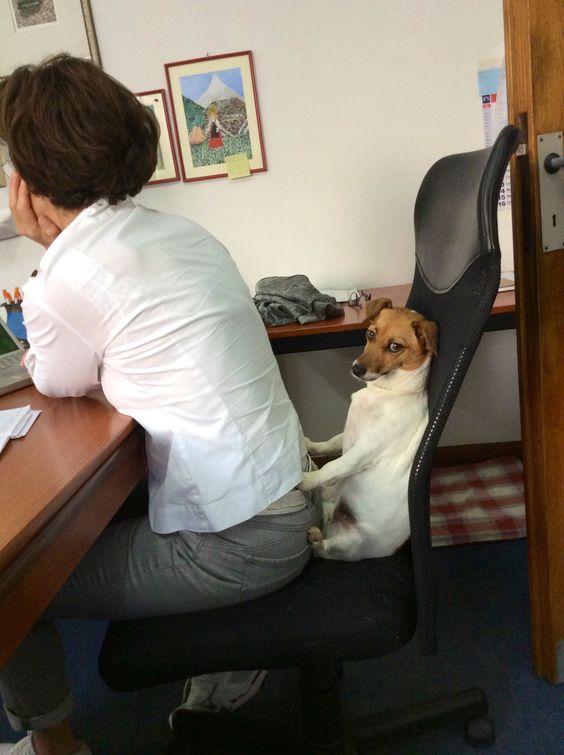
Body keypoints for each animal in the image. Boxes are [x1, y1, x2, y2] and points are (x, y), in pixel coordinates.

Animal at [300, 296, 436, 560]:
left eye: (395, 346)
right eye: (370, 333)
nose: (356, 369)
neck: (387, 393)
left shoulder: (364, 451)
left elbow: (333, 467)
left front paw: (307, 479)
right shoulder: (350, 433)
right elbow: (331, 443)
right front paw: (312, 445)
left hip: (351, 542)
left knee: (327, 551)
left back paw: (318, 541)